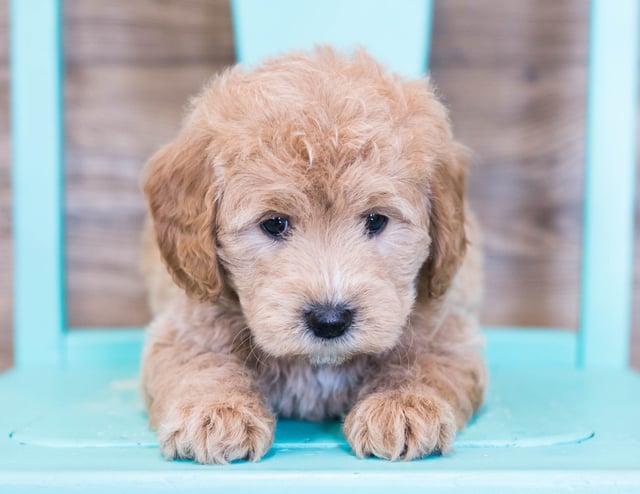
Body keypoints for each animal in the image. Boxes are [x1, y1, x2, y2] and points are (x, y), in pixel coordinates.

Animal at [142, 46, 488, 464]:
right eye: (274, 223)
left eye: (376, 219)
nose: (330, 320)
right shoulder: (187, 324)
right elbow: (202, 363)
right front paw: (215, 410)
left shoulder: (449, 327)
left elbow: (426, 363)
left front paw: (402, 405)